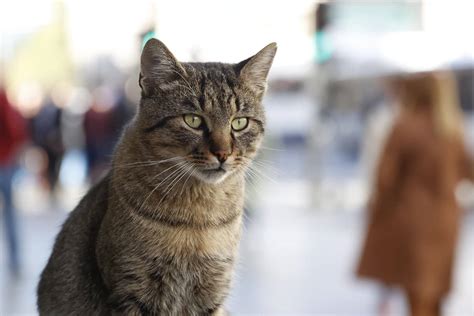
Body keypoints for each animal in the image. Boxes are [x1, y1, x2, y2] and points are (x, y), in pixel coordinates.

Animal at [38, 40, 278, 316]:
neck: (197, 216)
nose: (222, 154)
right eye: (193, 120)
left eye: (239, 123)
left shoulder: (213, 290)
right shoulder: (131, 286)